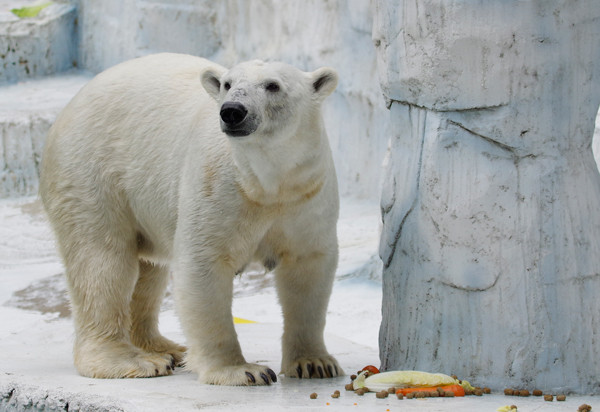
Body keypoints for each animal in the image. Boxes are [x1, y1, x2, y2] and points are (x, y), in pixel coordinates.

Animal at [39, 53, 342, 384]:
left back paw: (166, 348)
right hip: (90, 172)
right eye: (227, 84)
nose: (232, 111)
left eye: (272, 85)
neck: (265, 184)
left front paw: (315, 363)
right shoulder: (217, 186)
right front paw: (243, 370)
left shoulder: (306, 195)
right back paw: (134, 361)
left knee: (146, 271)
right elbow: (203, 265)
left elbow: (307, 272)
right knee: (102, 263)